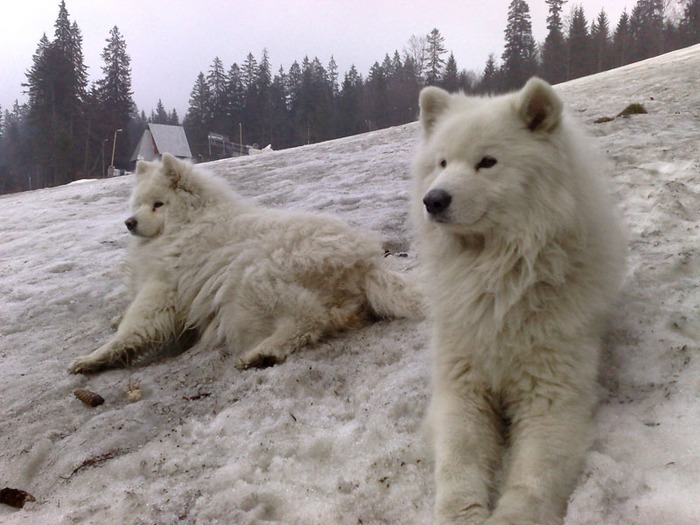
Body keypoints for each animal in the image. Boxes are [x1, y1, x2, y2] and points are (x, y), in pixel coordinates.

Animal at [69, 152, 422, 372]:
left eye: (158, 204)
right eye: (138, 203)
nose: (129, 223)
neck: (189, 222)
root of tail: (367, 265)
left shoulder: (162, 289)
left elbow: (133, 327)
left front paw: (93, 358)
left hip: (252, 279)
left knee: (308, 319)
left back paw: (261, 354)